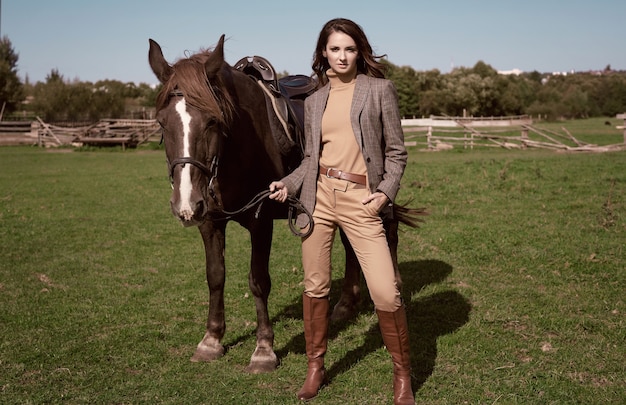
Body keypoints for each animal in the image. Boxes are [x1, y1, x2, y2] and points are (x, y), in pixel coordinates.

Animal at [147, 34, 420, 372]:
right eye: (162, 123)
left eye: (212, 121)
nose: (186, 203)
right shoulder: (210, 222)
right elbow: (215, 276)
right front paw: (211, 340)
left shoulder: (261, 221)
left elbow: (258, 281)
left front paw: (263, 350)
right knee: (350, 242)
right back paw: (346, 304)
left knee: (388, 232)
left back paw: (391, 286)